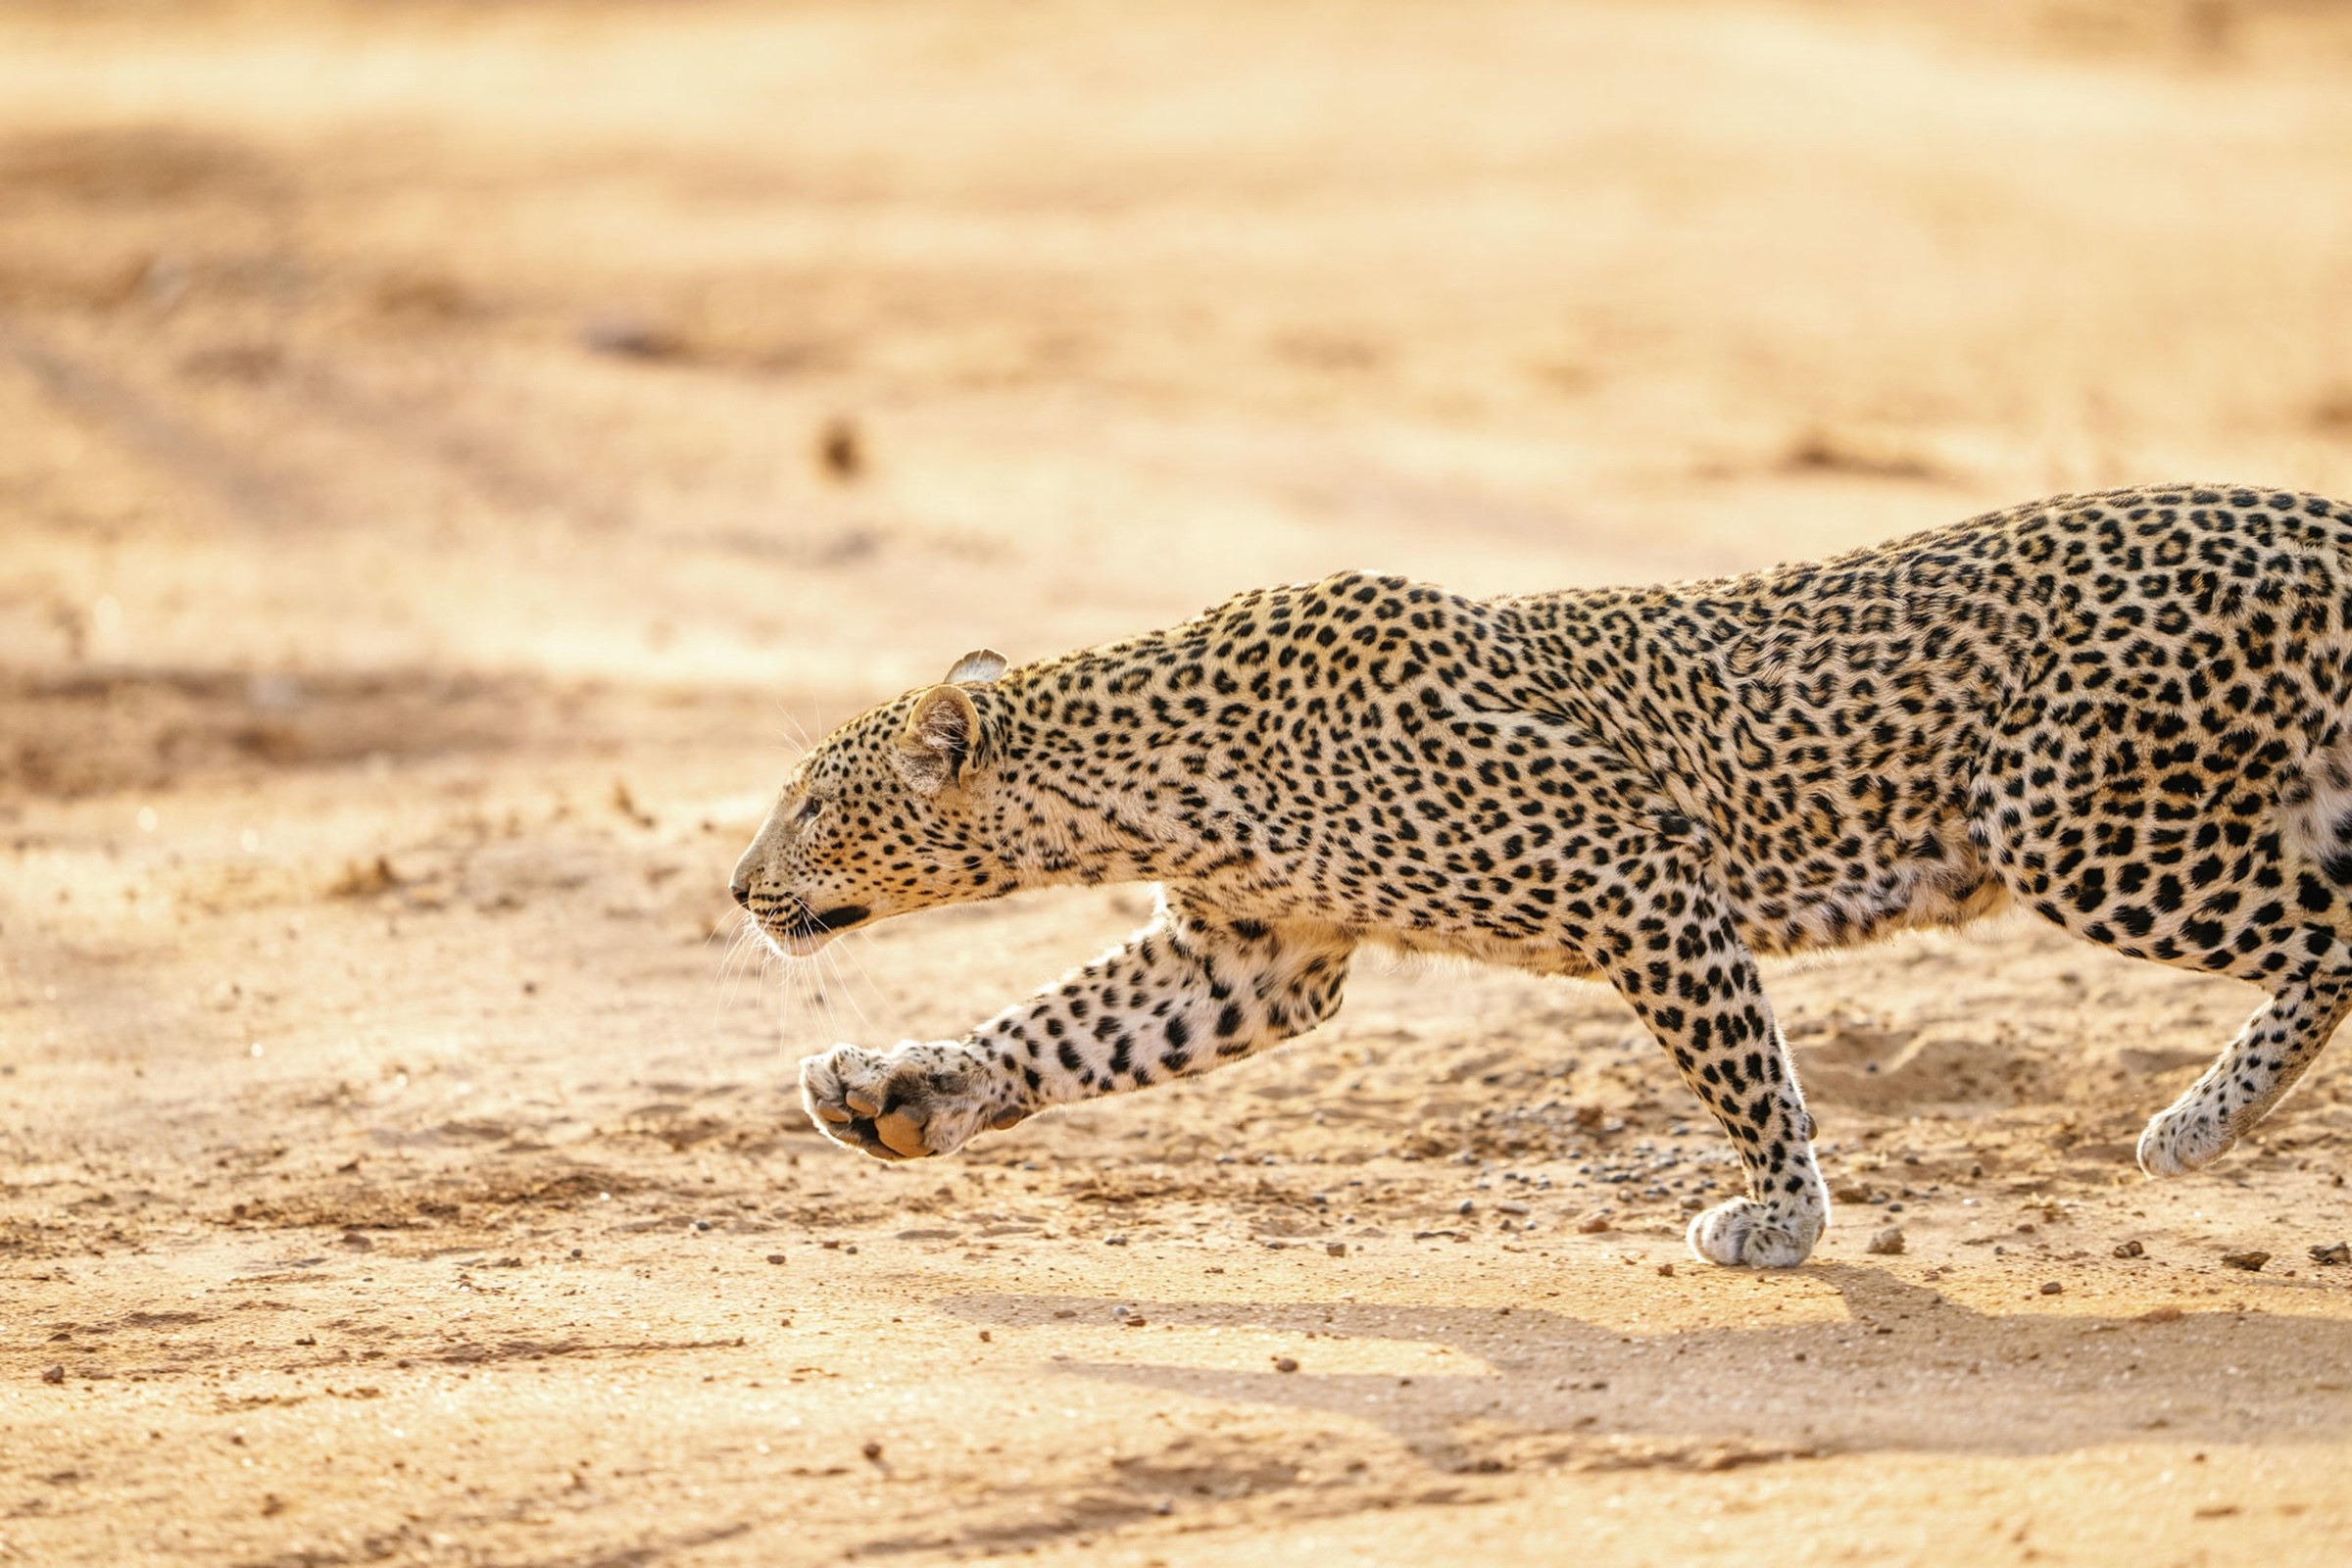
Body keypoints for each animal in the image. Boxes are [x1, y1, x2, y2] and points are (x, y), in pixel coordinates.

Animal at [731, 484, 2352, 1268]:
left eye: (808, 804)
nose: (740, 889)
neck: (1147, 775)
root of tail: (2311, 515)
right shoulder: (1251, 958)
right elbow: (1054, 1032)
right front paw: (900, 1094)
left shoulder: (1639, 878)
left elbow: (1749, 1074)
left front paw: (1780, 1221)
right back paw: (2205, 1123)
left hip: (2067, 820)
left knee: (2331, 939)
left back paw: (2196, 1127)